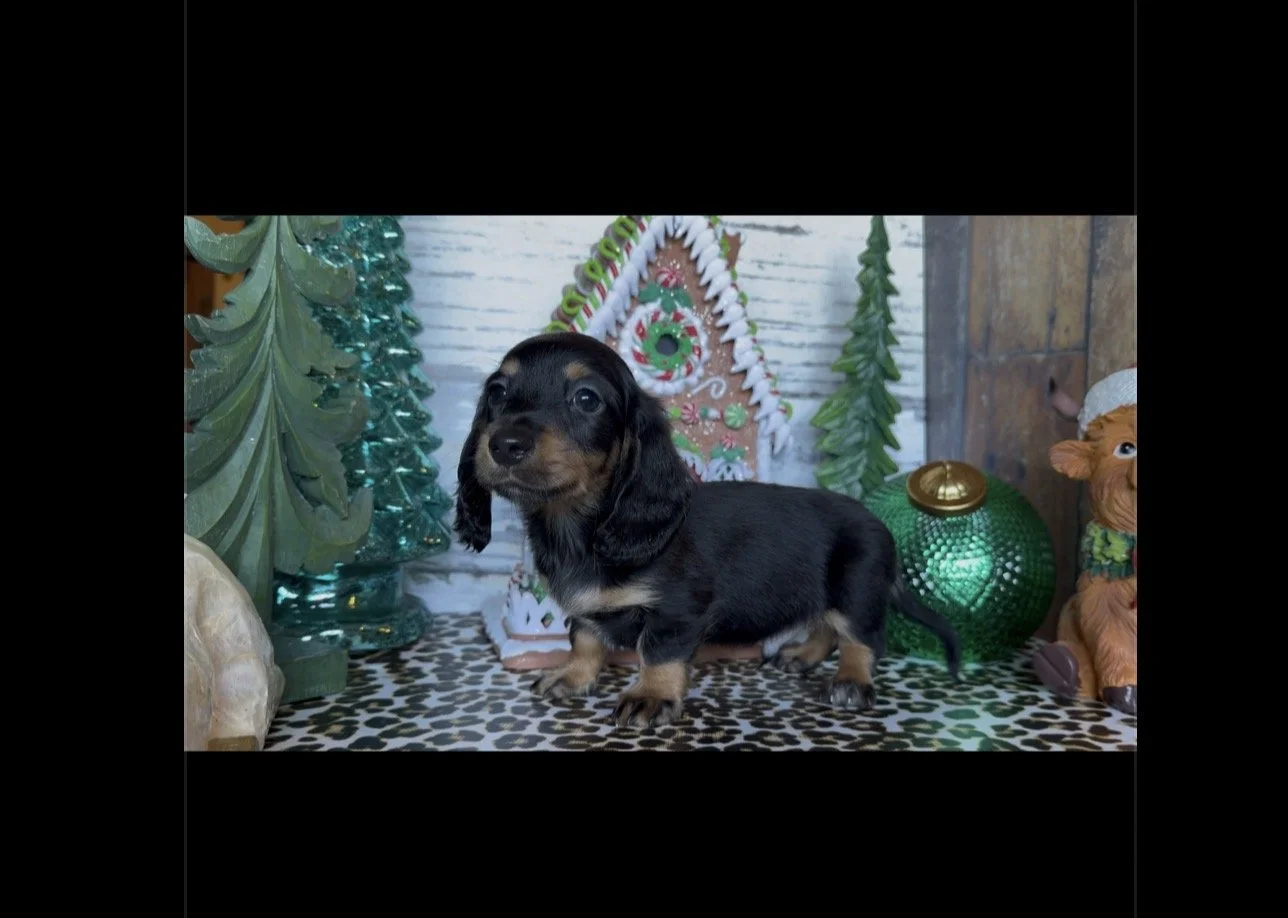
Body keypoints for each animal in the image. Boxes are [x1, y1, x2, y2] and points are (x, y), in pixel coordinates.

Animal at [455, 333, 961, 728]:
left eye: (586, 398)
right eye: (498, 391)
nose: (505, 444)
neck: (581, 527)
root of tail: (878, 521)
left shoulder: (677, 610)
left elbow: (658, 652)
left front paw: (650, 695)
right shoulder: (585, 608)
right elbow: (584, 638)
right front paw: (572, 676)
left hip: (855, 588)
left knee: (861, 637)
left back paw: (851, 680)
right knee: (826, 626)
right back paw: (802, 654)